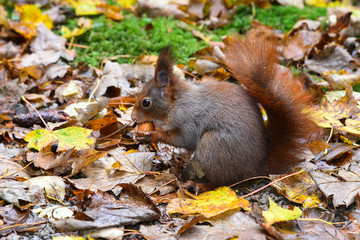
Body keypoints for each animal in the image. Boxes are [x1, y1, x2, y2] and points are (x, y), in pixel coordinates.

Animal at [131, 28, 316, 186]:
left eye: (146, 102)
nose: (132, 117)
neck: (177, 103)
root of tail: (254, 170)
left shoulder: (187, 119)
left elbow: (184, 139)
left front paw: (152, 135)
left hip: (213, 145)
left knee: (221, 183)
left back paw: (199, 185)